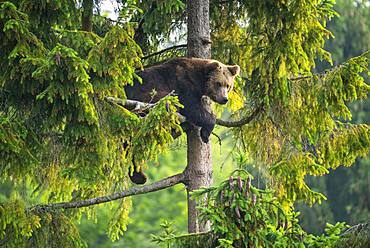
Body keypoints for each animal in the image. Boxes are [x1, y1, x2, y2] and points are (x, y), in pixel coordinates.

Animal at [124, 56, 240, 184]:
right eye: (218, 83)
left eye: (228, 85)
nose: (224, 99)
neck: (198, 81)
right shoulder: (183, 83)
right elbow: (192, 107)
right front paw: (205, 132)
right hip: (146, 98)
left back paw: (138, 175)